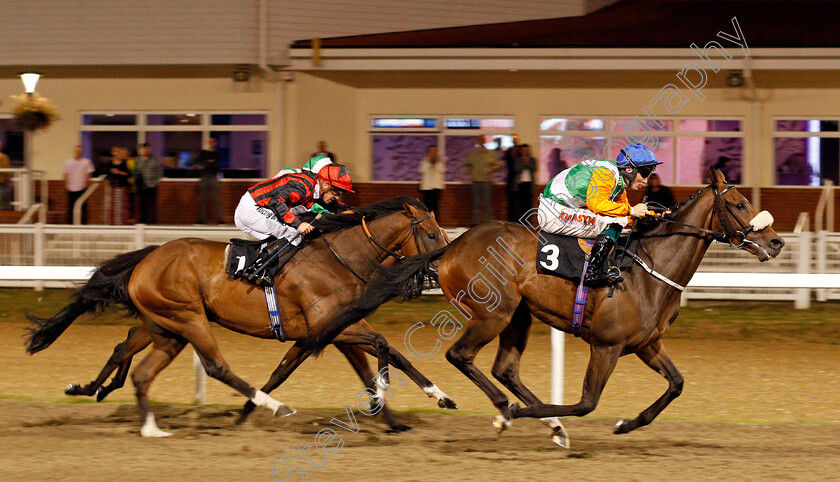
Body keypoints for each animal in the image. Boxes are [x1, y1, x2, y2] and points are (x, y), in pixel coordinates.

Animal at [26, 197, 452, 436]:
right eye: (432, 235)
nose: (441, 269)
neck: (339, 257)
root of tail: (148, 257)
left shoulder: (331, 329)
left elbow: (294, 369)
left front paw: (414, 408)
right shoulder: (329, 327)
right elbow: (382, 347)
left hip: (162, 324)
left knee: (125, 350)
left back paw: (92, 390)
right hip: (188, 319)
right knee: (214, 365)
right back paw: (271, 406)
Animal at [304, 170, 788, 448]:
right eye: (739, 204)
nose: (777, 241)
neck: (649, 269)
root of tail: (450, 246)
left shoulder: (647, 344)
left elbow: (677, 385)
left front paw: (627, 424)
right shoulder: (607, 345)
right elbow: (586, 402)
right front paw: (514, 417)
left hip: (518, 314)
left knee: (504, 368)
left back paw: (546, 424)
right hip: (495, 312)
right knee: (462, 356)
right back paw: (506, 411)